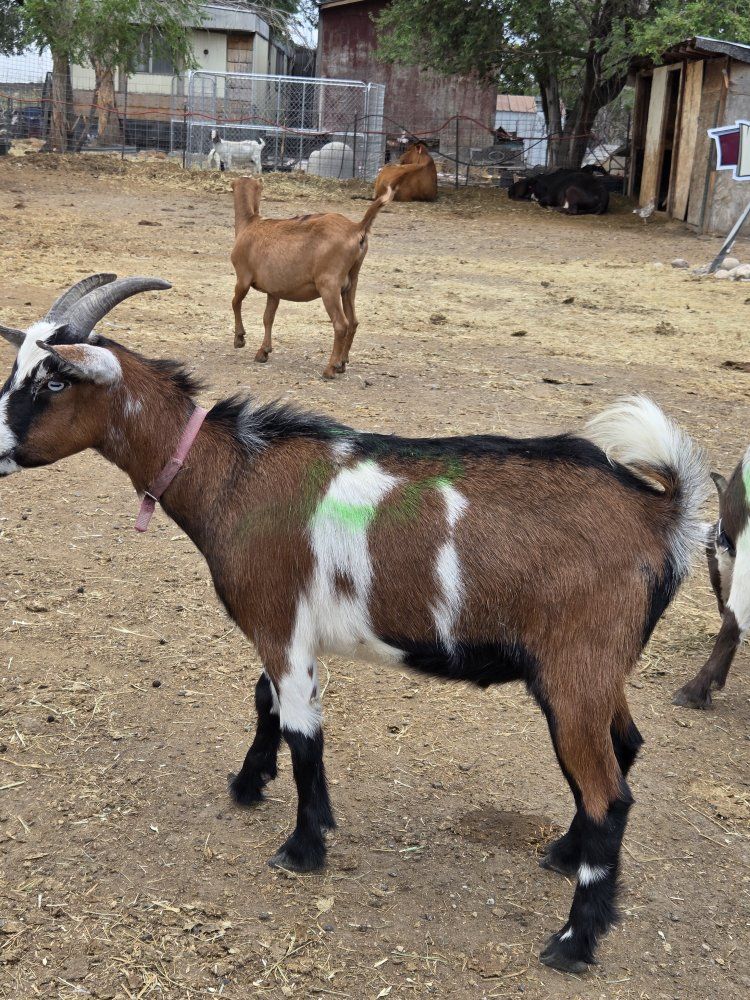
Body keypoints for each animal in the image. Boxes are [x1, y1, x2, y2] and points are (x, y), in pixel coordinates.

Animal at [0, 277, 710, 973]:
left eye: (53, 381)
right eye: (18, 368)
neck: (233, 476)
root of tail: (660, 514)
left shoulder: (279, 623)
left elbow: (302, 733)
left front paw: (302, 847)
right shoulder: (287, 630)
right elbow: (265, 704)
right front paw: (249, 785)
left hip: (576, 668)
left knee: (608, 797)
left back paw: (573, 942)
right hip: (597, 670)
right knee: (624, 748)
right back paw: (563, 853)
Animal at [230, 177, 393, 379]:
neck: (249, 224)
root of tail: (357, 228)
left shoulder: (243, 277)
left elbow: (235, 303)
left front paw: (239, 339)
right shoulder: (274, 290)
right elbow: (268, 318)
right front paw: (263, 352)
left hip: (329, 284)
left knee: (341, 324)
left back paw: (331, 368)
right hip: (351, 283)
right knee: (353, 322)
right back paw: (342, 363)